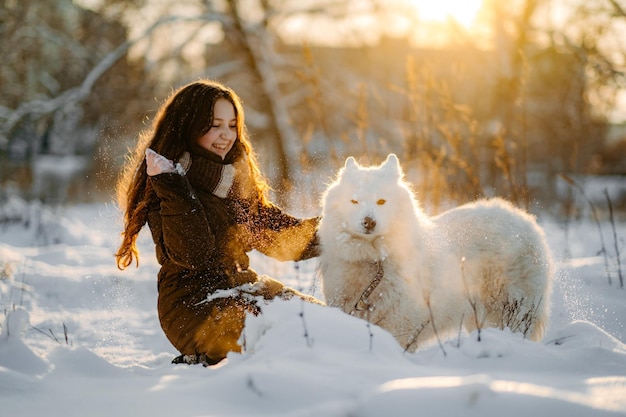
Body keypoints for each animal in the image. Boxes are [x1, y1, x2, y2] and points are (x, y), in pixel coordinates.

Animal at [316, 154, 552, 350]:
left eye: (381, 201)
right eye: (354, 201)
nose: (368, 222)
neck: (374, 260)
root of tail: (525, 220)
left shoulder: (401, 328)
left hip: (510, 312)